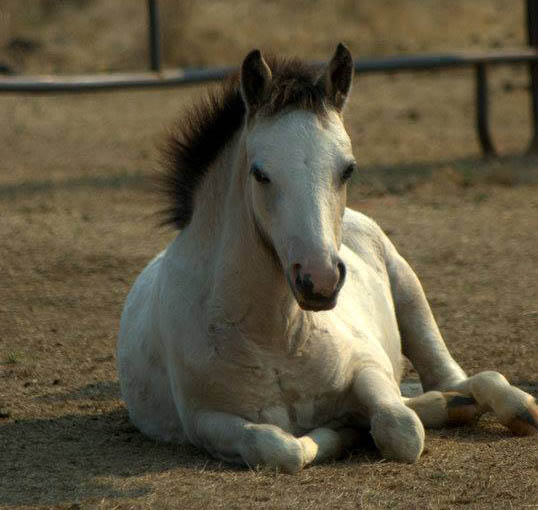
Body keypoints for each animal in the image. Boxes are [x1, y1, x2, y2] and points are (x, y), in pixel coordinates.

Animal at [117, 43, 536, 474]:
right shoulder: (204, 419)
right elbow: (279, 447)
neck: (276, 337)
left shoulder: (367, 365)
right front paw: (342, 431)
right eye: (260, 173)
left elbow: (400, 428)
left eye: (348, 169)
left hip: (409, 293)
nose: (320, 281)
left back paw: (511, 405)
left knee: (456, 379)